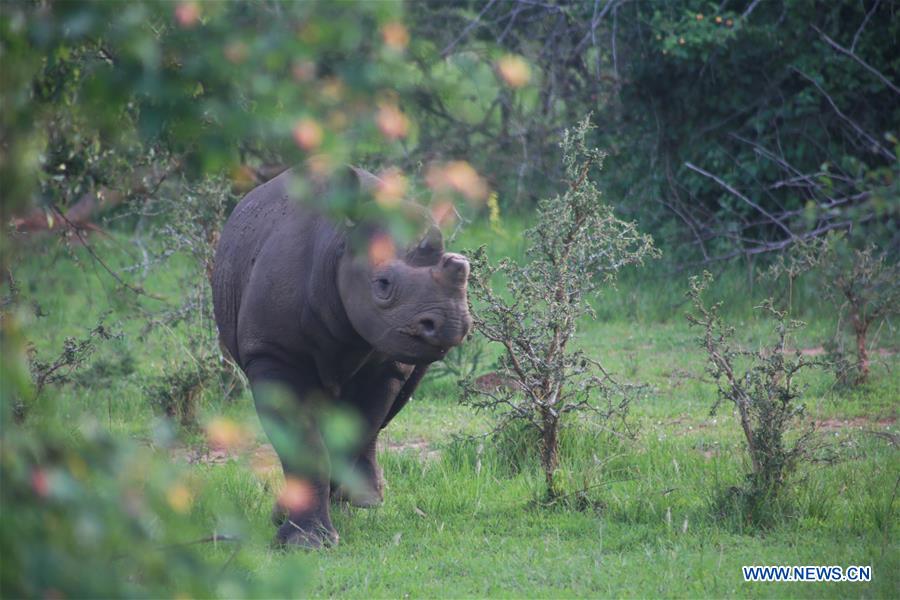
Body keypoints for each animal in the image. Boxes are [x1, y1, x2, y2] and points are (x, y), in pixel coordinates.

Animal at [211, 166, 471, 548]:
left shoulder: (389, 360)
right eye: (382, 284)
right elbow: (303, 442)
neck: (338, 246)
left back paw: (363, 499)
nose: (449, 324)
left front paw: (330, 513)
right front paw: (304, 542)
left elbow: (355, 428)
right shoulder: (271, 352)